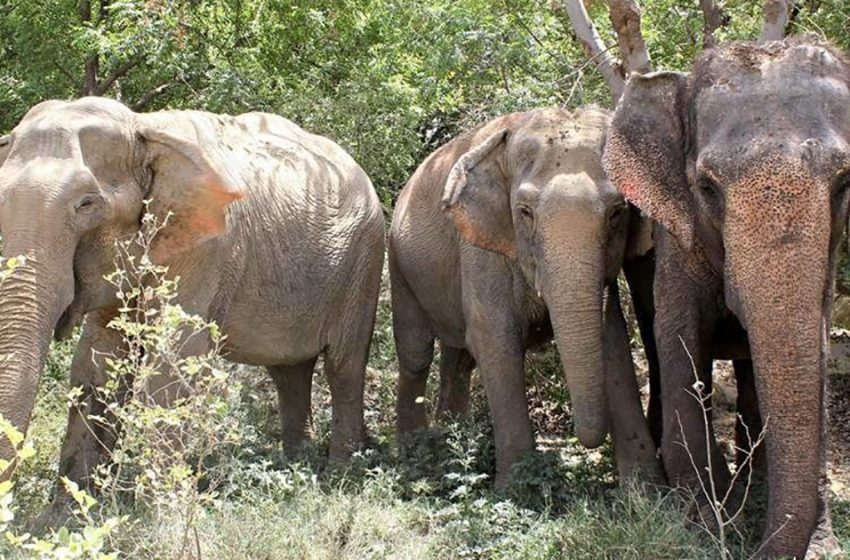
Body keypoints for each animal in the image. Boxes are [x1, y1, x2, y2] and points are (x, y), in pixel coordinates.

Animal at [0, 98, 380, 492]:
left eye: (86, 204)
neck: (141, 128)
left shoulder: (207, 248)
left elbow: (173, 364)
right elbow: (98, 361)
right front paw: (69, 507)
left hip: (362, 260)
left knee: (343, 365)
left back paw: (339, 474)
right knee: (289, 371)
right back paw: (296, 464)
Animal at [388, 105, 660, 486]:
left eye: (617, 213)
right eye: (525, 213)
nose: (587, 442)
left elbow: (613, 341)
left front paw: (647, 490)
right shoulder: (480, 250)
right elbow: (496, 341)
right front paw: (515, 489)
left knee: (458, 359)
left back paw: (455, 442)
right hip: (400, 267)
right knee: (416, 354)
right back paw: (414, 454)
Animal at [604, 37, 848, 556]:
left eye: (845, 184)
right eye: (707, 188)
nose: (753, 549)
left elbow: (813, 348)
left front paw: (820, 545)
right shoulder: (676, 238)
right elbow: (679, 337)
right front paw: (699, 525)